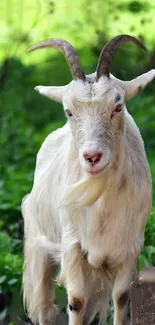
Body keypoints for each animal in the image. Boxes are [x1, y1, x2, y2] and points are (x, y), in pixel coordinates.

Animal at [22, 35, 154, 324]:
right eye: (68, 111)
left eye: (118, 106)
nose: (92, 157)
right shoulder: (72, 246)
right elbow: (76, 301)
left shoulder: (130, 248)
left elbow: (121, 298)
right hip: (40, 245)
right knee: (45, 306)